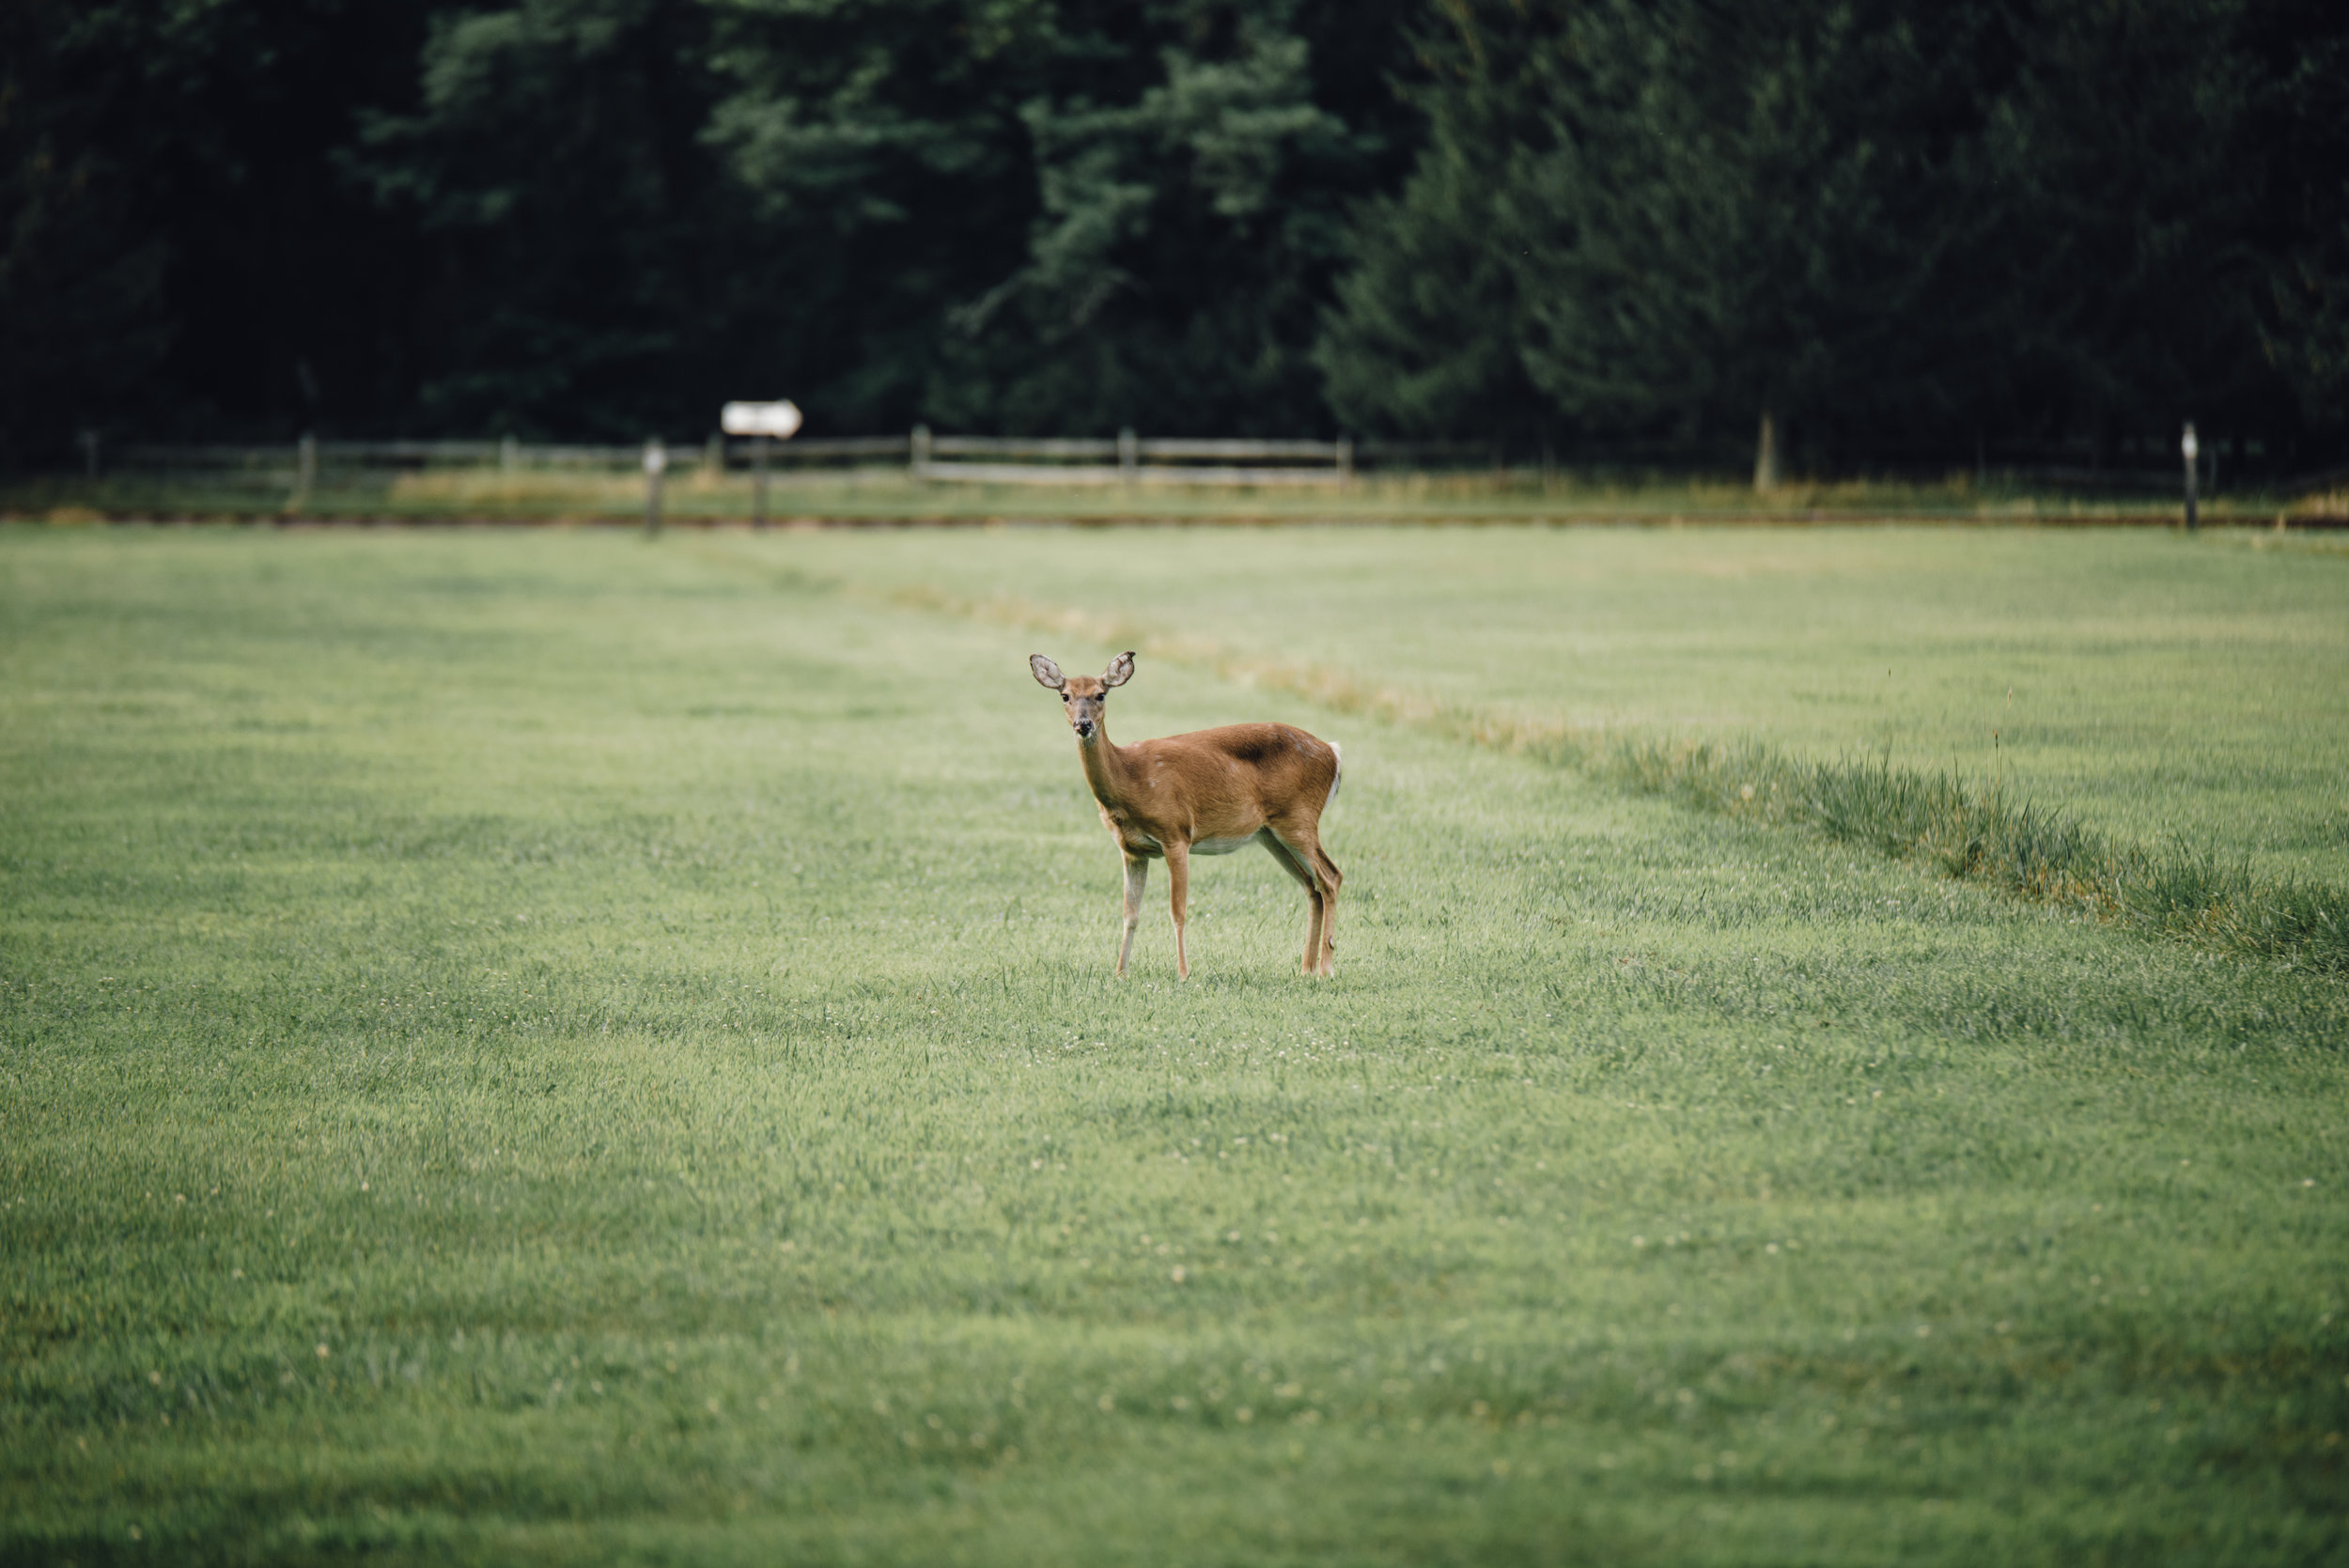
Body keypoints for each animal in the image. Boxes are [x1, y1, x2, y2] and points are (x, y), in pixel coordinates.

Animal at [1029, 647, 1344, 981]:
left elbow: (1177, 911)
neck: (1129, 779)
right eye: (1065, 695)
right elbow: (1130, 914)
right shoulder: (1131, 850)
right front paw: (1120, 972)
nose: (1083, 724)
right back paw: (1306, 969)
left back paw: (1326, 968)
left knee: (1331, 877)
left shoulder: (1176, 833)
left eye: (1100, 694)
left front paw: (1182, 973)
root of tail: (1333, 753)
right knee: (1312, 887)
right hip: (1271, 834)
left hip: (1299, 817)